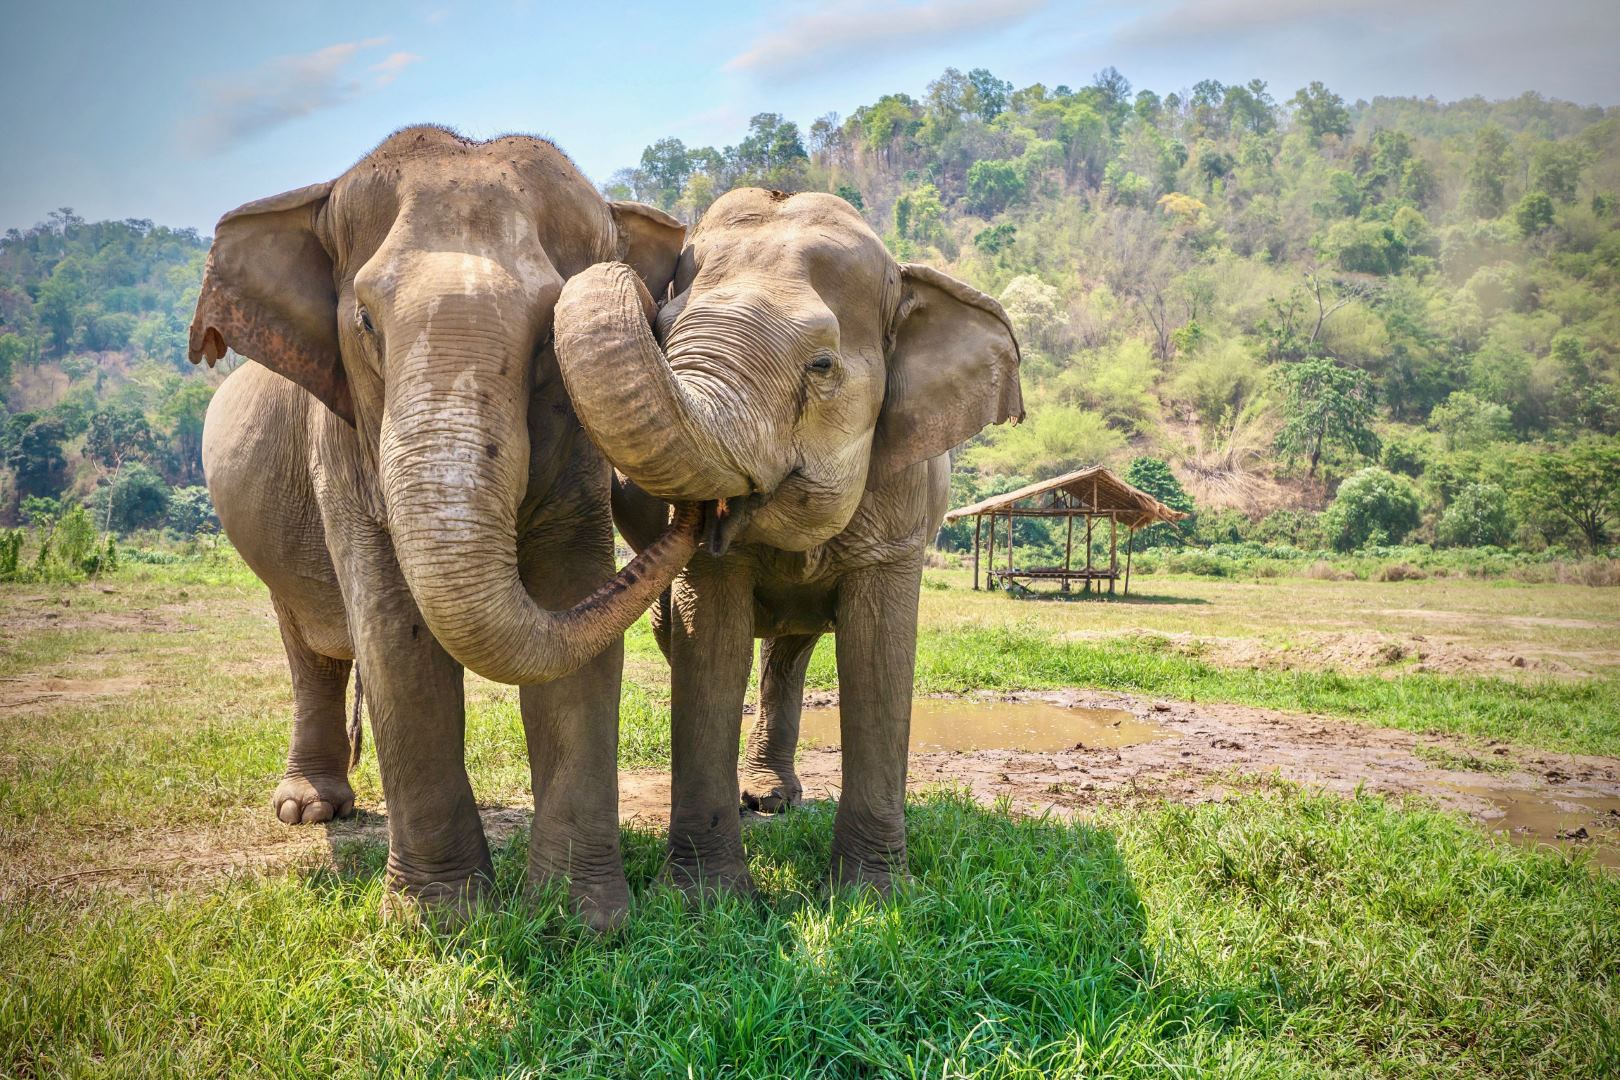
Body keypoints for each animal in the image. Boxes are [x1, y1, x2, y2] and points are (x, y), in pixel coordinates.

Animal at [192, 126, 698, 928]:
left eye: (549, 335)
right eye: (365, 322)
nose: (700, 512)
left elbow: (574, 612)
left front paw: (580, 921)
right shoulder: (342, 441)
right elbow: (397, 643)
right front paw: (441, 921)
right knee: (310, 648)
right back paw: (309, 811)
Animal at [553, 187, 1023, 895]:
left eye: (822, 365)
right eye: (662, 332)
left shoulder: (902, 503)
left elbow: (879, 655)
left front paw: (873, 894)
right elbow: (710, 646)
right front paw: (706, 900)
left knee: (791, 651)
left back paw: (773, 799)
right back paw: (757, 801)